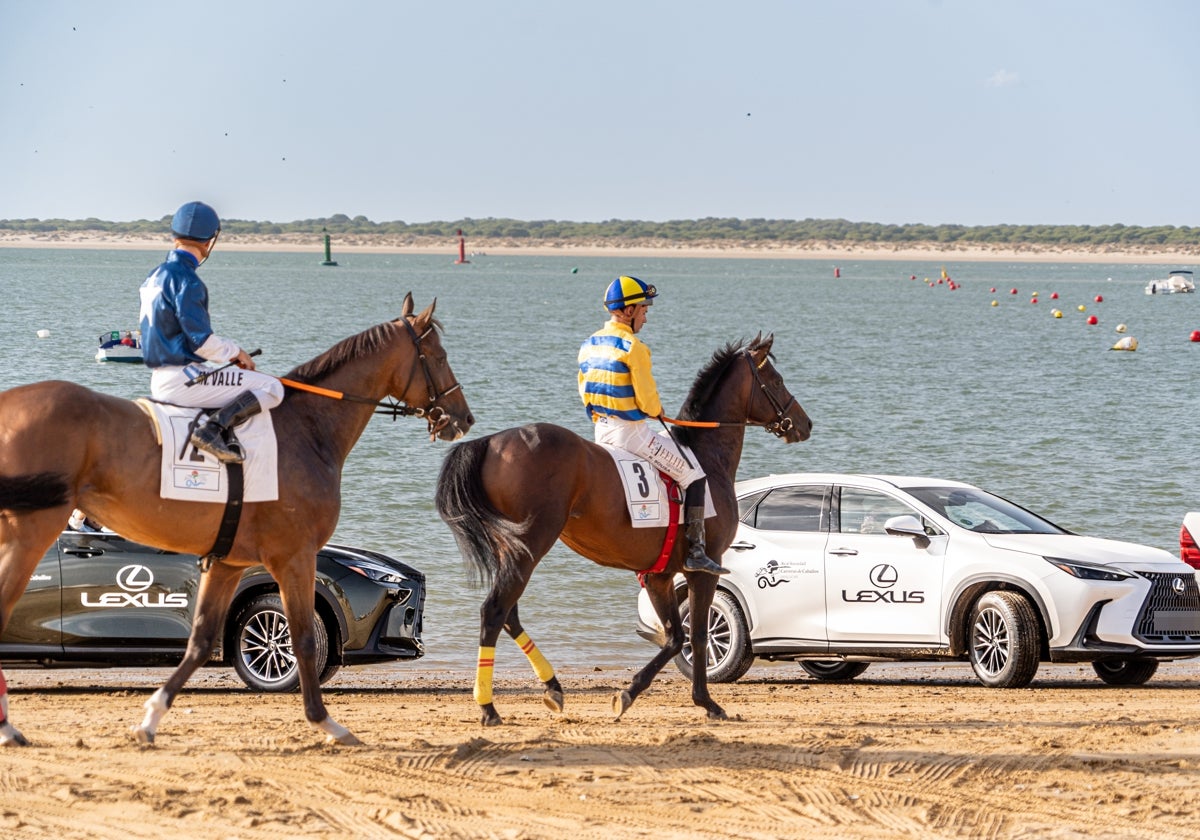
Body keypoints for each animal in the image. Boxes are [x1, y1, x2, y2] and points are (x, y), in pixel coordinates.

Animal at [0, 295, 470, 748]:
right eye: (438, 354)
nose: (464, 417)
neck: (307, 430)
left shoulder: (228, 561)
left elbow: (200, 640)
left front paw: (150, 720)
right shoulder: (295, 555)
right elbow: (302, 637)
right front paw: (326, 723)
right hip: (32, 530)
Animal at [436, 331, 811, 724]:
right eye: (776, 380)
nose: (804, 424)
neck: (706, 455)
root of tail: (492, 441)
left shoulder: (659, 575)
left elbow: (675, 637)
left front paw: (629, 693)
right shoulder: (704, 569)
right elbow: (696, 635)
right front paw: (706, 702)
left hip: (511, 548)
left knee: (509, 613)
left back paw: (553, 686)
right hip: (531, 544)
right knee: (494, 611)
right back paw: (488, 706)